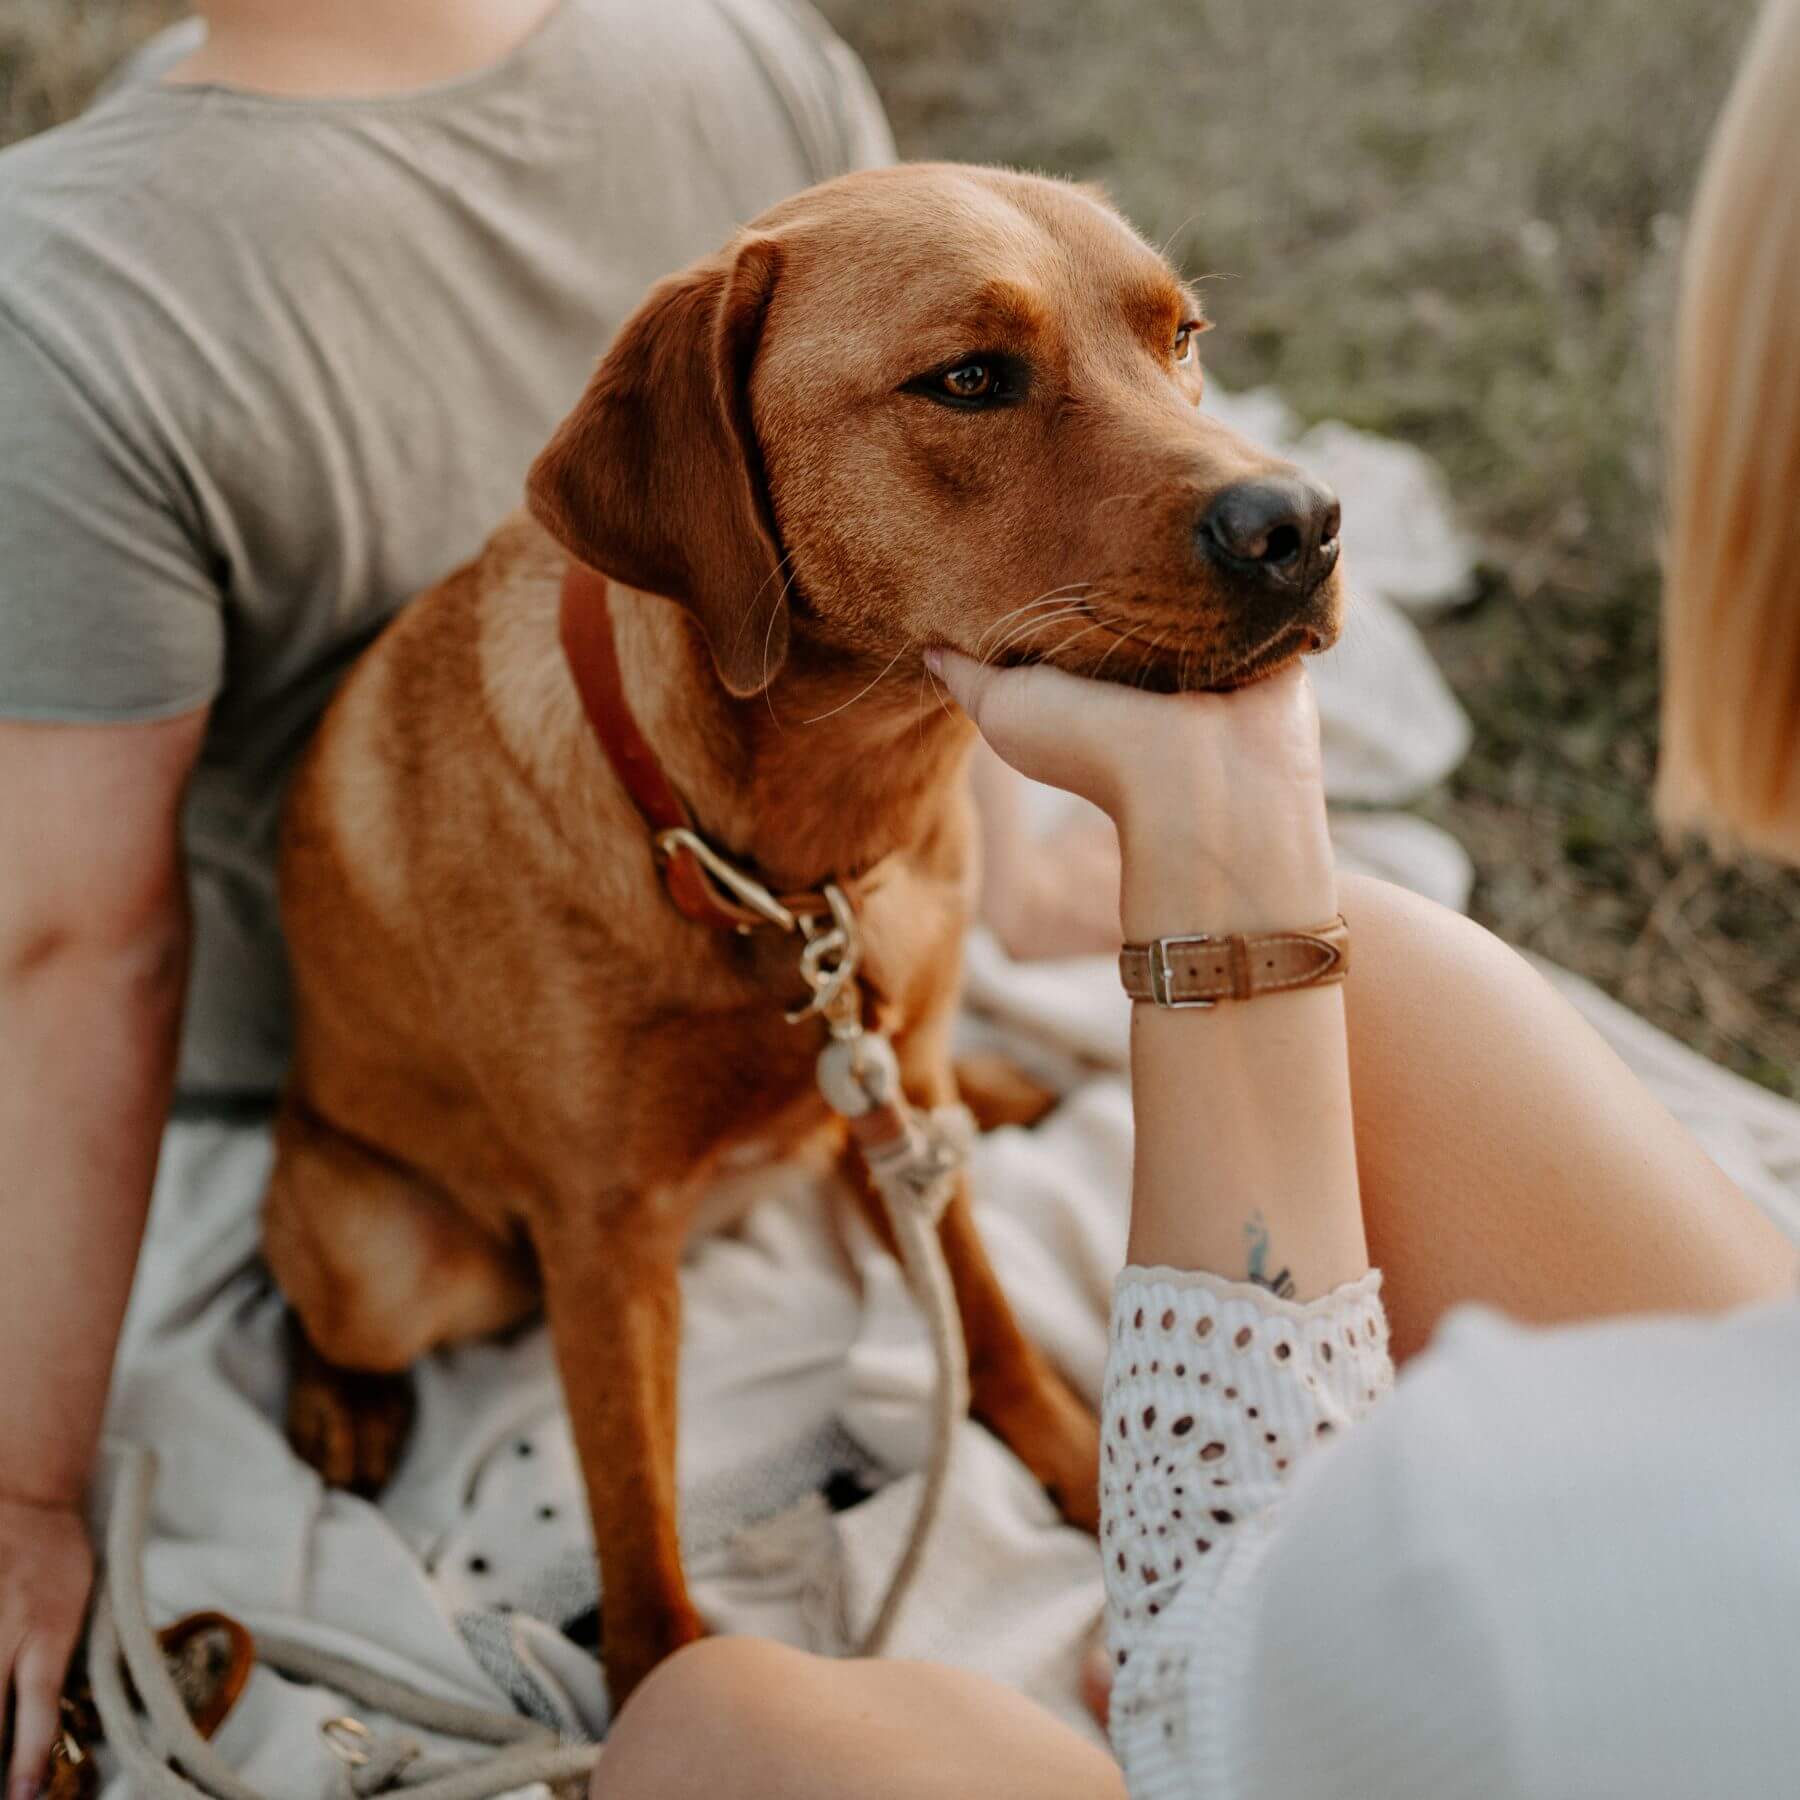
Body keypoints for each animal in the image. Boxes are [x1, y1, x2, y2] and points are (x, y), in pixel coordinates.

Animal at [262, 162, 1339, 1706]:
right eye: (970, 378)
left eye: (1180, 337)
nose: (1302, 525)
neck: (802, 863)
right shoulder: (603, 1243)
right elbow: (631, 1517)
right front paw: (660, 1697)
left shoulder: (892, 1098)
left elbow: (986, 1323)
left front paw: (1084, 1462)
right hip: (385, 1256)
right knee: (314, 1289)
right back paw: (337, 1400)